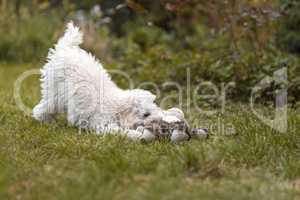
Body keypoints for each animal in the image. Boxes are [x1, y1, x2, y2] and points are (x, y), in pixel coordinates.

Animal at [33, 22, 197, 141]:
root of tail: (65, 49)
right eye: (146, 114)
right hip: (55, 91)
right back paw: (41, 119)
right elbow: (118, 130)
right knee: (45, 106)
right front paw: (135, 135)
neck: (116, 107)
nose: (159, 121)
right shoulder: (102, 123)